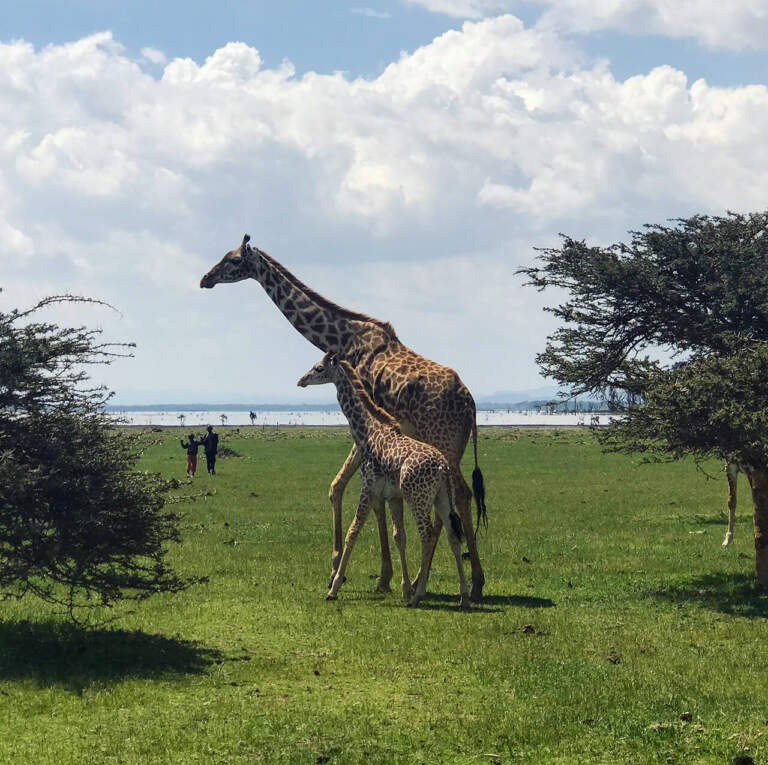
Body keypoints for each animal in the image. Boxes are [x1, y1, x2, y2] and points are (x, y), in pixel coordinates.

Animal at [298, 352, 468, 608]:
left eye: (318, 368)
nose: (302, 380)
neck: (368, 431)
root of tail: (443, 467)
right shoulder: (393, 496)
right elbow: (400, 537)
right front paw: (404, 588)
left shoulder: (368, 487)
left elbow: (353, 531)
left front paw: (334, 587)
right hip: (442, 497)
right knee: (452, 535)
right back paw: (463, 596)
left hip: (418, 498)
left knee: (427, 534)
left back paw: (419, 594)